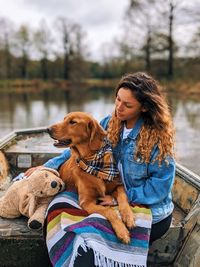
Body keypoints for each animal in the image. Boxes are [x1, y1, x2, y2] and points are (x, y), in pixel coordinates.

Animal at [47, 112, 135, 244]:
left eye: (73, 122)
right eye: (64, 119)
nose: (47, 129)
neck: (92, 162)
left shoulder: (118, 184)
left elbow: (123, 195)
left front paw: (128, 216)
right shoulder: (86, 202)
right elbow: (108, 211)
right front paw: (122, 231)